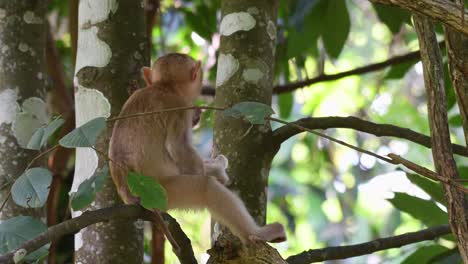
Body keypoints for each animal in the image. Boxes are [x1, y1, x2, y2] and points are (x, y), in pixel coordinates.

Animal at [109, 53, 286, 243]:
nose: (197, 108)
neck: (163, 86)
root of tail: (128, 194)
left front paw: (216, 166)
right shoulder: (180, 108)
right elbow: (178, 148)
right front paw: (215, 171)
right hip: (164, 192)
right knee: (206, 188)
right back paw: (256, 234)